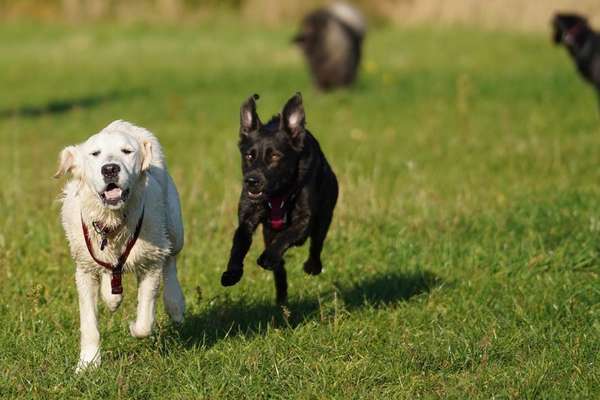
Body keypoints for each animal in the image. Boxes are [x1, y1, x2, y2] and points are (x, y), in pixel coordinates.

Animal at [57, 119, 186, 372]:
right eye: (95, 154)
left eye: (127, 151)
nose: (110, 169)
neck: (113, 220)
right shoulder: (84, 269)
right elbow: (89, 323)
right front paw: (87, 364)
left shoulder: (151, 260)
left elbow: (145, 320)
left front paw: (134, 326)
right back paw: (111, 295)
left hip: (174, 229)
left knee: (171, 261)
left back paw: (175, 304)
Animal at [223, 91, 340, 304]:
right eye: (249, 156)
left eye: (275, 156)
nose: (251, 181)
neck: (278, 194)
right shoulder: (248, 217)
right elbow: (239, 243)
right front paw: (232, 273)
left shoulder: (305, 218)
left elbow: (288, 235)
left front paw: (267, 257)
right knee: (280, 270)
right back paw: (281, 300)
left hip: (325, 214)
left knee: (316, 243)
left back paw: (312, 266)